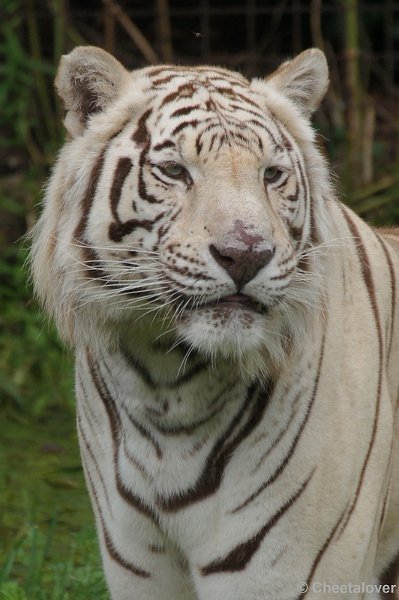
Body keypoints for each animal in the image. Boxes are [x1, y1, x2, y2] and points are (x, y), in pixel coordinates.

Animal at [30, 44, 399, 596]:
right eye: (174, 171)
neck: (165, 386)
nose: (246, 255)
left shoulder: (291, 572)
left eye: (271, 175)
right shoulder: (138, 568)